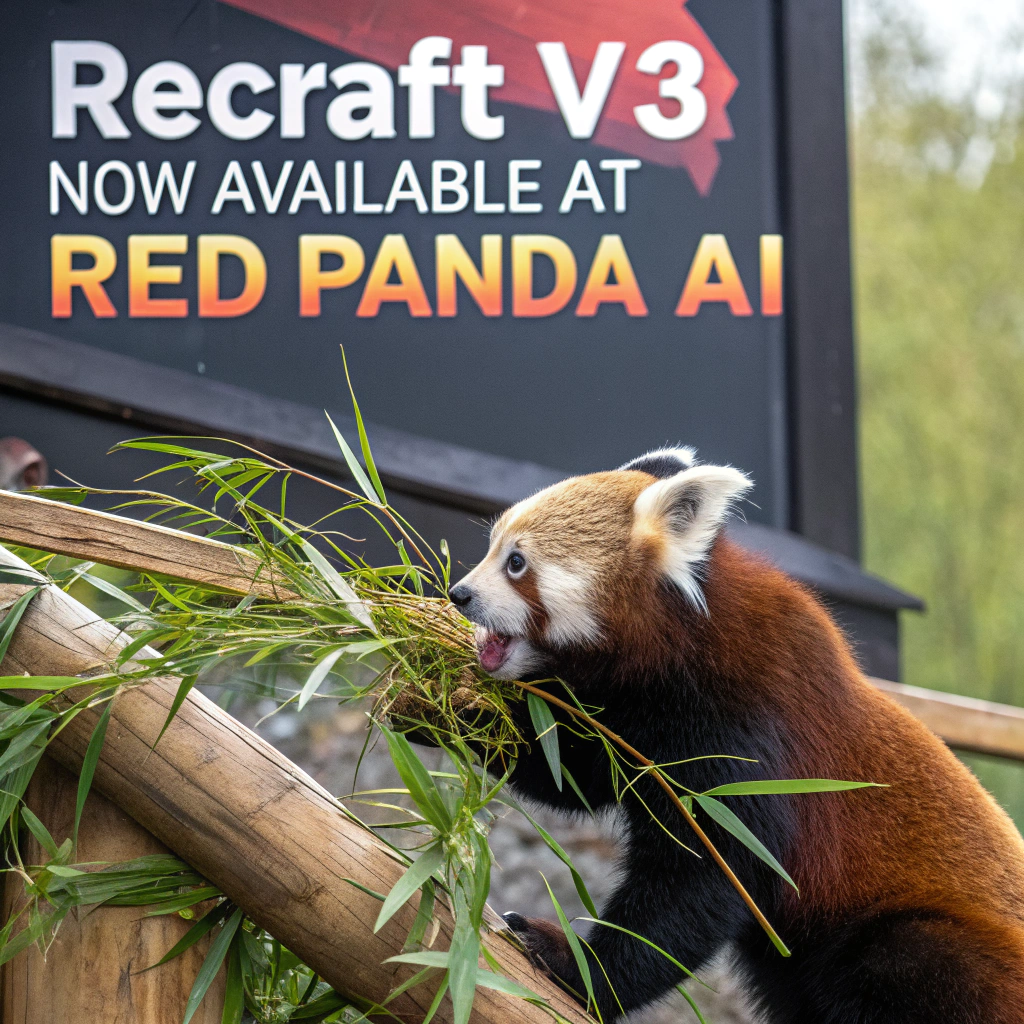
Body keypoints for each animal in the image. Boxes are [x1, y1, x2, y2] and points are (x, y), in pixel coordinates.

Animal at [446, 449, 1024, 1024]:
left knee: (902, 960)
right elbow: (569, 776)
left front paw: (579, 964)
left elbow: (708, 878)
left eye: (516, 563)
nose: (459, 594)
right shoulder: (628, 727)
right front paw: (439, 697)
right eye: (493, 546)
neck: (678, 650)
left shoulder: (746, 728)